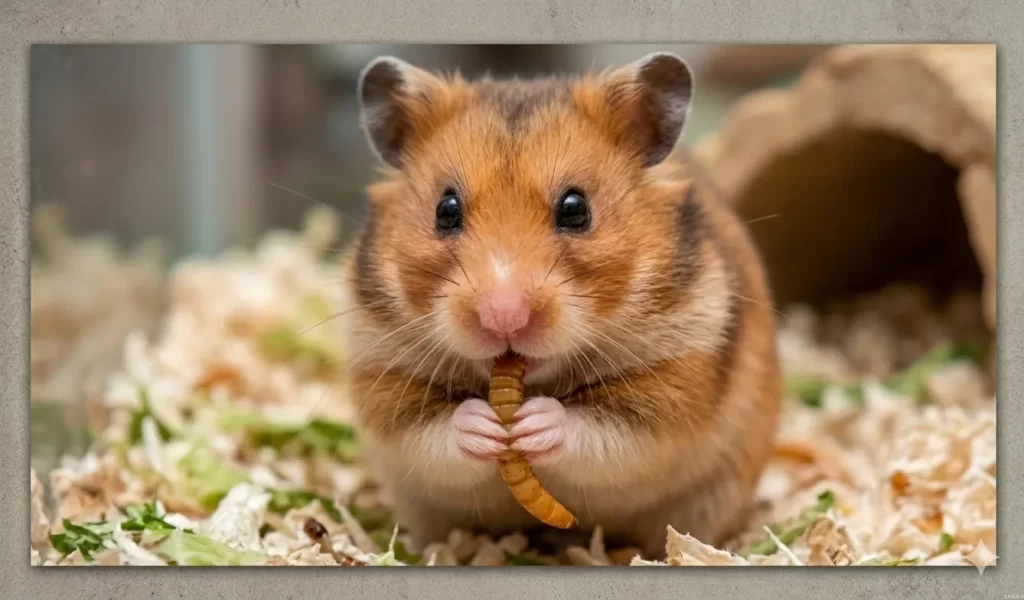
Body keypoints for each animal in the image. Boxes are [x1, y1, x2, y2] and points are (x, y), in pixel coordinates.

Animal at [338, 51, 782, 559]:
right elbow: (431, 430)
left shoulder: (680, 374)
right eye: (445, 210)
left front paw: (533, 423)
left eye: (575, 209)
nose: (504, 317)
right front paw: (484, 425)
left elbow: (603, 428)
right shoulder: (381, 372)